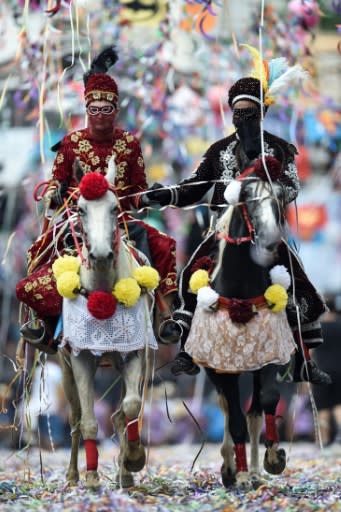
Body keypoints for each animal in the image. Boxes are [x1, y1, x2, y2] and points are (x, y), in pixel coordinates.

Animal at [57, 159, 156, 488]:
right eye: (80, 208)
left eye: (115, 208)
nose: (100, 254)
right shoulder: (80, 357)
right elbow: (88, 421)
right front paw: (90, 476)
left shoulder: (135, 350)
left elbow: (131, 406)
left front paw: (134, 458)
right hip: (63, 368)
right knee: (75, 419)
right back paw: (73, 474)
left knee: (120, 414)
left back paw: (125, 471)